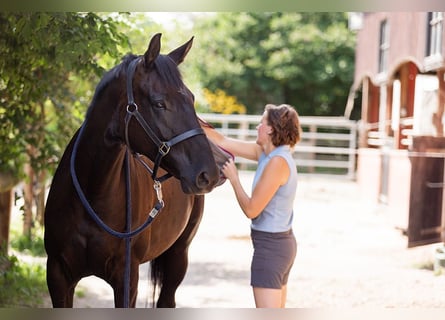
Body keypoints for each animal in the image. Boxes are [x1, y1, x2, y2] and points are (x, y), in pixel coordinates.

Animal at [42, 33, 229, 308]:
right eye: (159, 103)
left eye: (192, 99)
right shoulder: (58, 276)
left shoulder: (126, 280)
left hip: (178, 254)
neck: (93, 192)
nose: (209, 173)